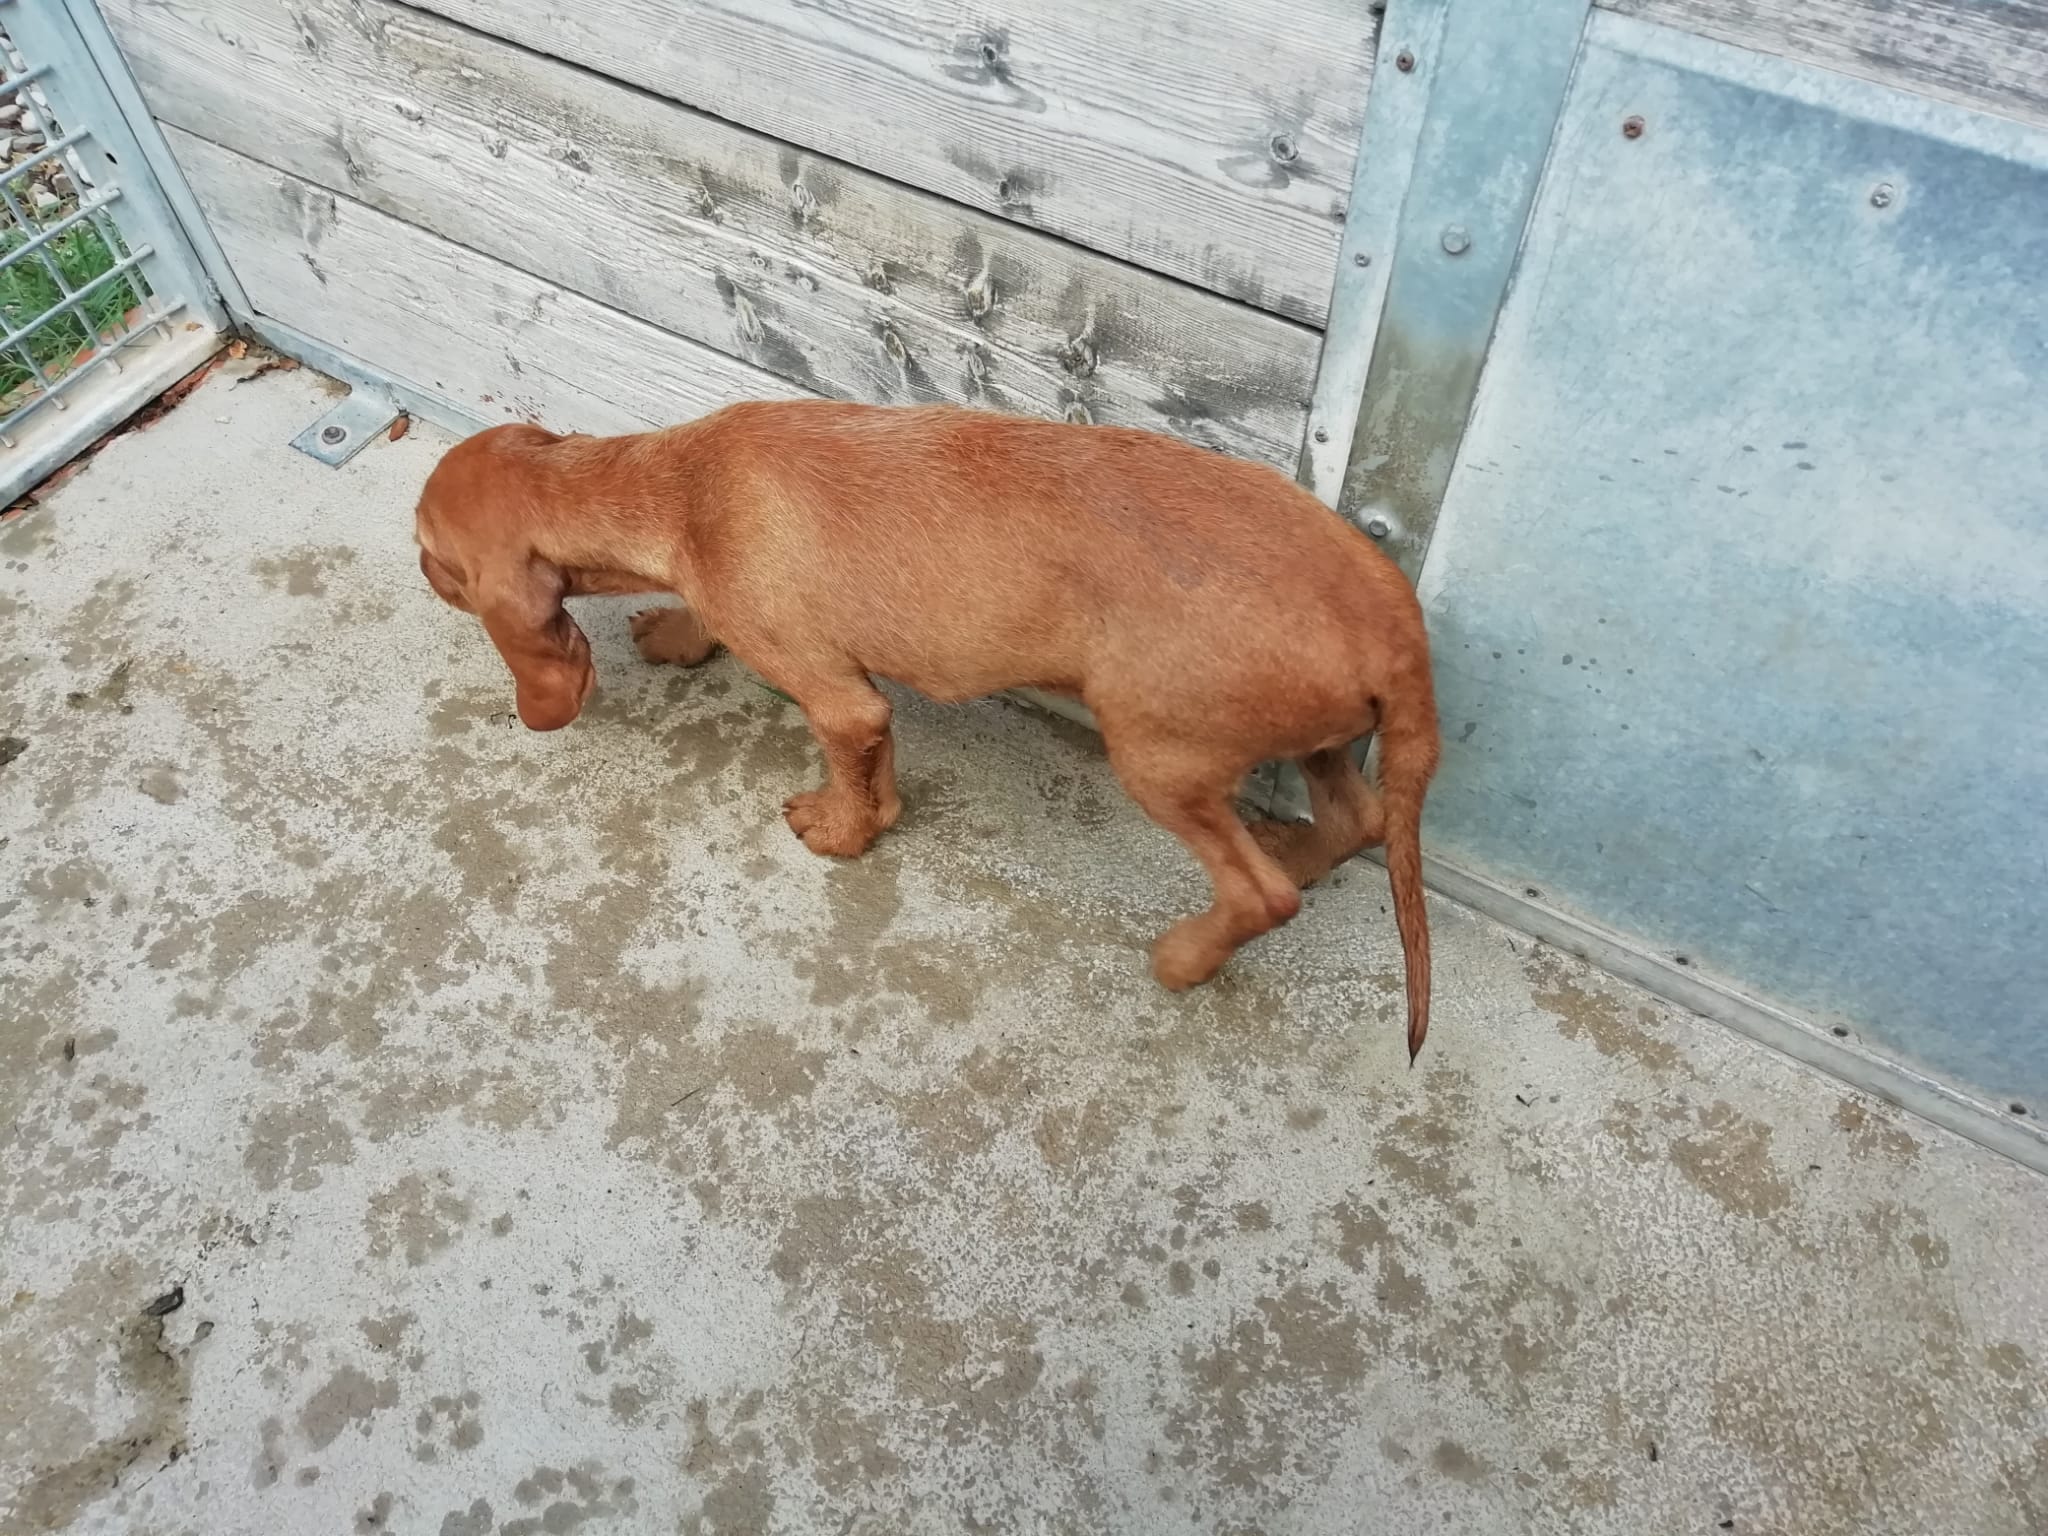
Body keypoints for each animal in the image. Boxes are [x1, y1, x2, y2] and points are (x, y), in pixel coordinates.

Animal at [415, 401, 1441, 1058]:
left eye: (431, 553)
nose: (415, 568)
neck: (677, 486)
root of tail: (1400, 630)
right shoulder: (850, 687)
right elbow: (868, 756)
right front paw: (677, 636)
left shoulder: (838, 698)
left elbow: (849, 767)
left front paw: (840, 832)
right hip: (1318, 741)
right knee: (1356, 822)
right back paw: (1295, 848)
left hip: (1158, 757)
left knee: (1262, 895)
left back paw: (1187, 956)